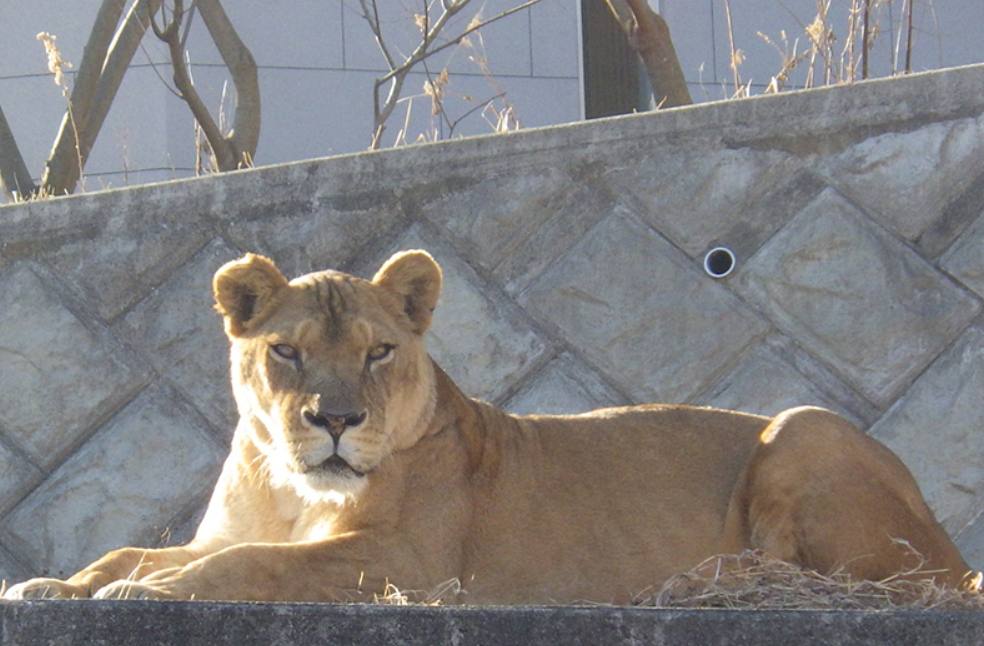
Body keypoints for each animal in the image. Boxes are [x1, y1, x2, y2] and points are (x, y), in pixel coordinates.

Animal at [4, 250, 980, 603]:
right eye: (285, 351)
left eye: (379, 352)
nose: (335, 421)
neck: (291, 488)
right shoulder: (244, 528)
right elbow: (137, 550)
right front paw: (56, 585)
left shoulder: (407, 564)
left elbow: (251, 566)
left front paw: (142, 595)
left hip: (804, 426)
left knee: (874, 582)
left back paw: (712, 578)